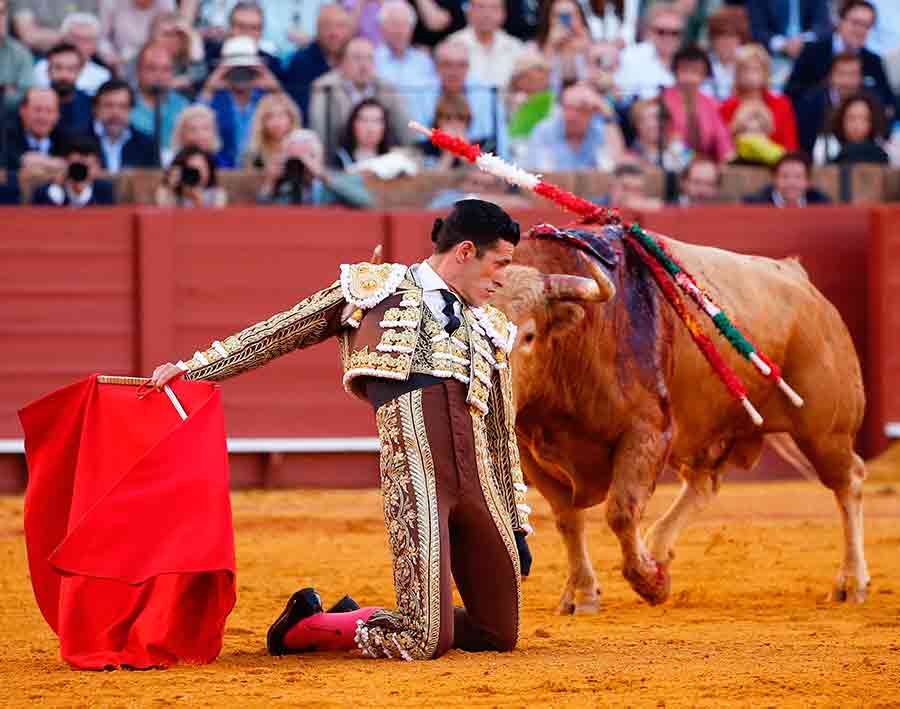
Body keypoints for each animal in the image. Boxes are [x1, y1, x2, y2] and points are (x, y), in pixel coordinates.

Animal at [492, 224, 872, 612]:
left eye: (528, 335)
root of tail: (804, 283)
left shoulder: (648, 431)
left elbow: (621, 511)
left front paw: (650, 584)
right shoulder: (529, 449)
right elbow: (568, 519)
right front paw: (583, 593)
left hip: (823, 430)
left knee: (849, 481)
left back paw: (851, 582)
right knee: (703, 484)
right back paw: (659, 550)